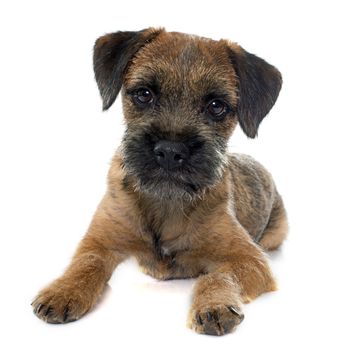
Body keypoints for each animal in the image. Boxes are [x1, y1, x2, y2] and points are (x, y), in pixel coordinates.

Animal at [31, 28, 288, 336]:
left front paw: (214, 305)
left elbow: (219, 275)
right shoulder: (99, 242)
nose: (170, 151)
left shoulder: (249, 259)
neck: (165, 202)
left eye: (216, 106)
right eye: (144, 94)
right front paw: (63, 291)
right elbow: (85, 263)